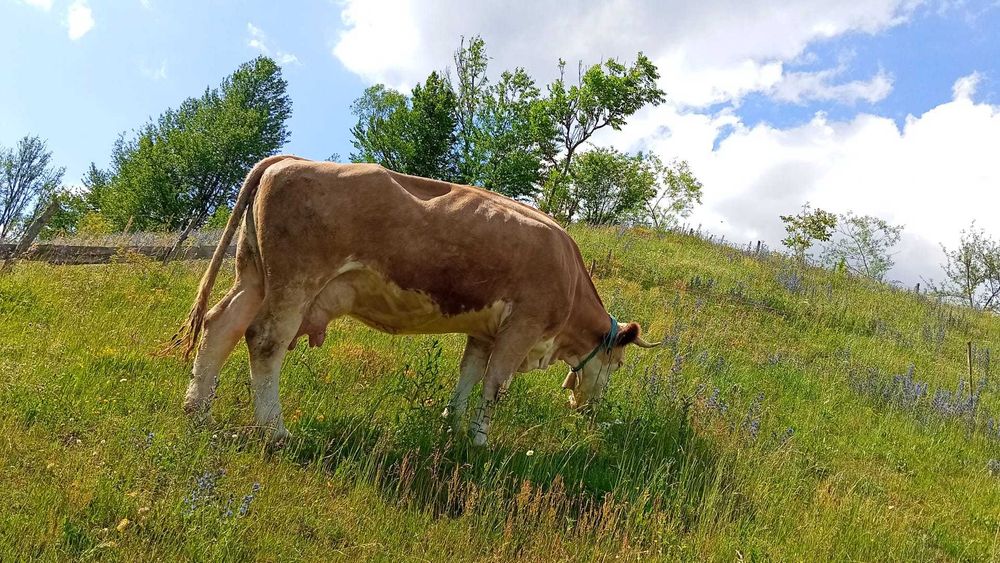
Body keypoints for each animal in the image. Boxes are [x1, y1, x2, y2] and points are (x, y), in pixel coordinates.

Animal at [176, 155, 660, 446]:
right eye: (618, 365)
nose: (590, 409)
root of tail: (290, 158)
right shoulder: (522, 327)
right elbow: (495, 387)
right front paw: (480, 443)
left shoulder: (485, 332)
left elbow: (468, 378)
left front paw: (451, 425)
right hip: (294, 282)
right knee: (264, 341)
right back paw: (276, 432)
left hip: (254, 276)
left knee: (221, 326)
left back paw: (197, 411)